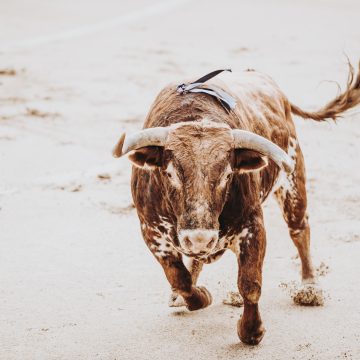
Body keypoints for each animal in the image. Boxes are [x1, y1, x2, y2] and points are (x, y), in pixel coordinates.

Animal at [113, 63, 360, 344]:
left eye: (228, 174)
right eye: (170, 173)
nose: (199, 238)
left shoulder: (252, 225)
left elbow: (250, 283)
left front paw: (252, 331)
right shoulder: (152, 230)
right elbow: (179, 278)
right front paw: (196, 296)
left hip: (293, 181)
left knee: (299, 229)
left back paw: (309, 287)